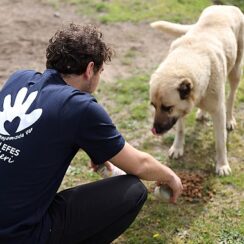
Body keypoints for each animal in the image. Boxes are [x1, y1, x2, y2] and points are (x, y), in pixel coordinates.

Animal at [150, 4, 243, 175]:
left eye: (167, 107)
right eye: (153, 106)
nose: (155, 130)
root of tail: (225, 6)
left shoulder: (218, 112)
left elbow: (220, 142)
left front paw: (222, 165)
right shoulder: (180, 111)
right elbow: (180, 129)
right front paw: (177, 148)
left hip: (236, 72)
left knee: (231, 97)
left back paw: (230, 119)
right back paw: (201, 112)